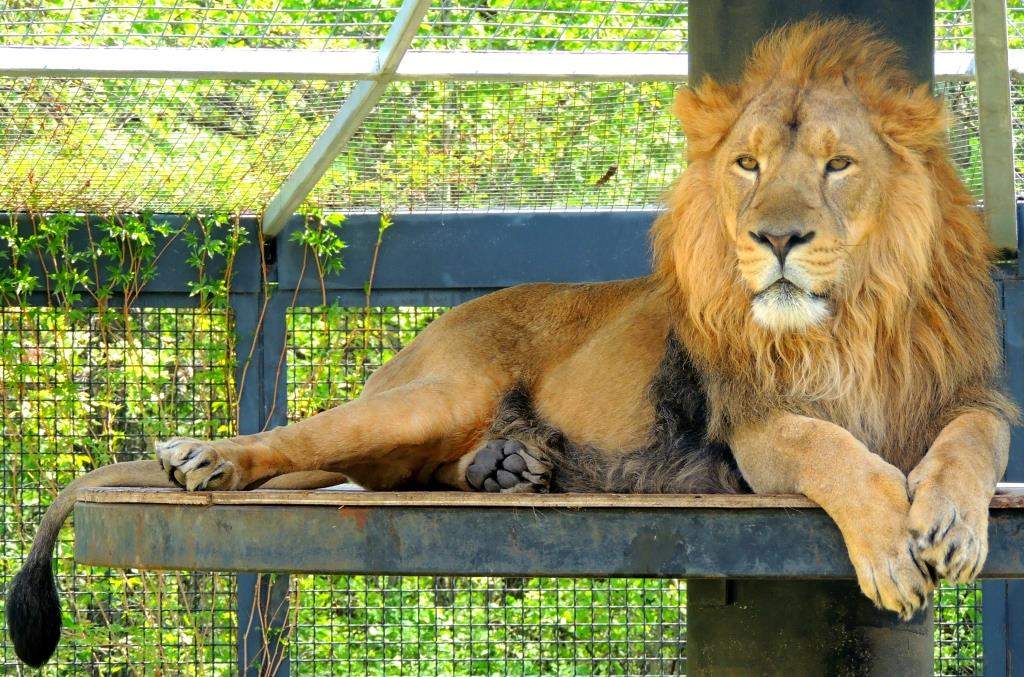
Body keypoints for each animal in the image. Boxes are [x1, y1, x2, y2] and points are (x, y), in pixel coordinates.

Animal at [7, 19, 1018, 667]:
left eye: (840, 164)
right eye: (748, 164)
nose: (775, 238)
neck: (857, 321)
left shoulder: (963, 393)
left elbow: (977, 439)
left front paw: (950, 523)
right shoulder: (756, 428)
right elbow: (834, 448)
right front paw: (892, 545)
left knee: (404, 472)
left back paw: (508, 466)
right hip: (434, 391)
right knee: (309, 442)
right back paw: (208, 456)